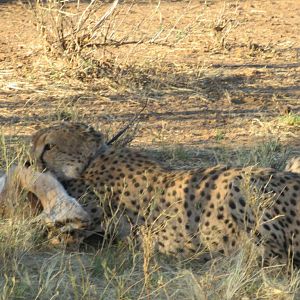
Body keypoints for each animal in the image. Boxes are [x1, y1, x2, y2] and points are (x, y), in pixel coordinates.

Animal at [30, 123, 300, 266]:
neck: (94, 158)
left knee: (274, 258)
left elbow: (52, 231)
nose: (30, 162)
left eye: (50, 146)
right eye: (34, 144)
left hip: (238, 184)